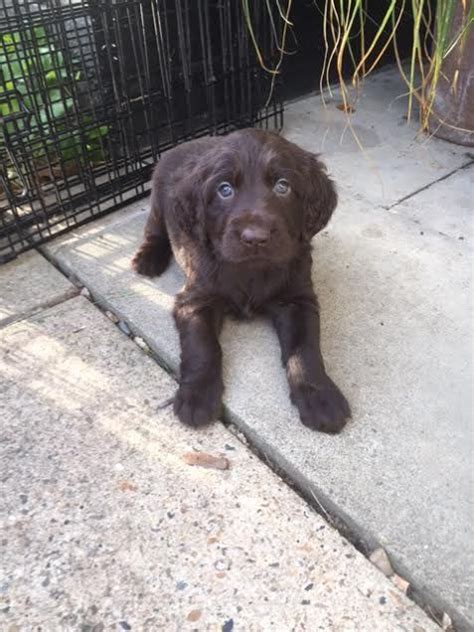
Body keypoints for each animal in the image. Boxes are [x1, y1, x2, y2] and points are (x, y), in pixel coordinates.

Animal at [131, 128, 350, 434]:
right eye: (224, 189)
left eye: (283, 186)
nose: (255, 237)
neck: (250, 270)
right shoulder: (196, 299)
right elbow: (203, 346)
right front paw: (197, 396)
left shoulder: (298, 299)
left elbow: (305, 347)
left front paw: (320, 396)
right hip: (159, 206)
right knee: (154, 232)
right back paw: (148, 259)